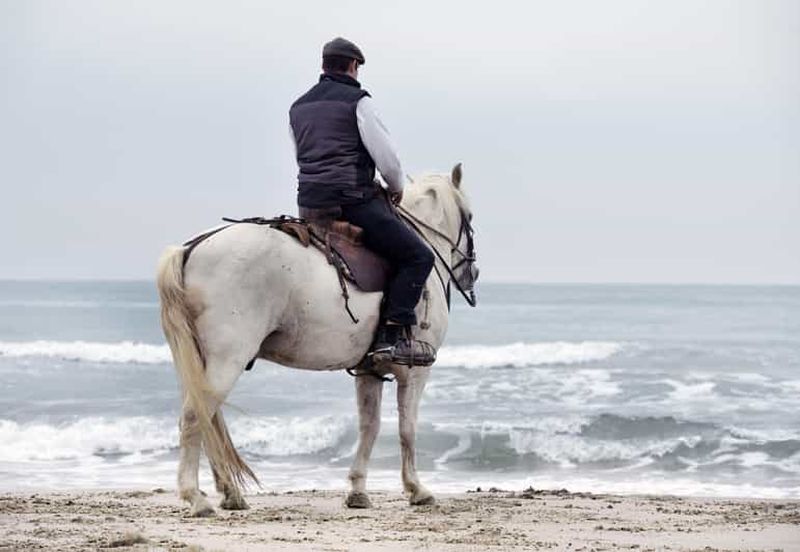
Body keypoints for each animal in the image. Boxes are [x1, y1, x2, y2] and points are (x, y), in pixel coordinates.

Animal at [156, 164, 478, 517]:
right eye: (470, 217)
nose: (472, 275)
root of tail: (192, 248)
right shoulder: (416, 372)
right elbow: (407, 429)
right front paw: (417, 489)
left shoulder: (369, 371)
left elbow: (369, 426)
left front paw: (358, 490)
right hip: (228, 358)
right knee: (194, 416)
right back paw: (196, 498)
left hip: (204, 360)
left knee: (208, 417)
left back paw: (230, 493)